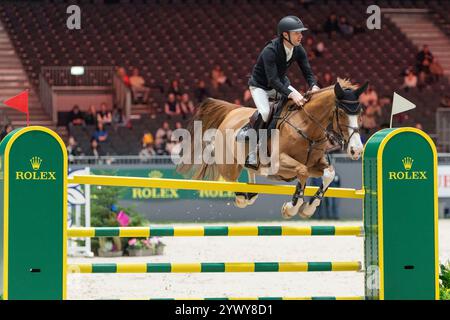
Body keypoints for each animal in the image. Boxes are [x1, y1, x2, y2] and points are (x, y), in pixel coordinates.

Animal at [175, 78, 366, 218]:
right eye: (341, 112)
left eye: (360, 112)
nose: (357, 150)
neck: (306, 126)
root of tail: (232, 111)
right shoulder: (280, 164)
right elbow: (302, 171)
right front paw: (292, 207)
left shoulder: (316, 164)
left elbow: (328, 174)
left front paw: (308, 208)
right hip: (228, 164)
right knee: (231, 180)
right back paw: (242, 198)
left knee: (250, 173)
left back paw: (250, 193)